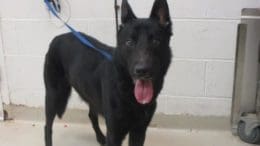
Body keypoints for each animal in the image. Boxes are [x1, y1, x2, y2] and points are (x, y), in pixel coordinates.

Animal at [43, 0, 172, 145]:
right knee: (47, 126)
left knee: (92, 116)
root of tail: (56, 38)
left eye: (155, 41)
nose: (142, 71)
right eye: (129, 42)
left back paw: (100, 137)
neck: (127, 90)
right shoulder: (115, 134)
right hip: (54, 95)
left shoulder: (139, 131)